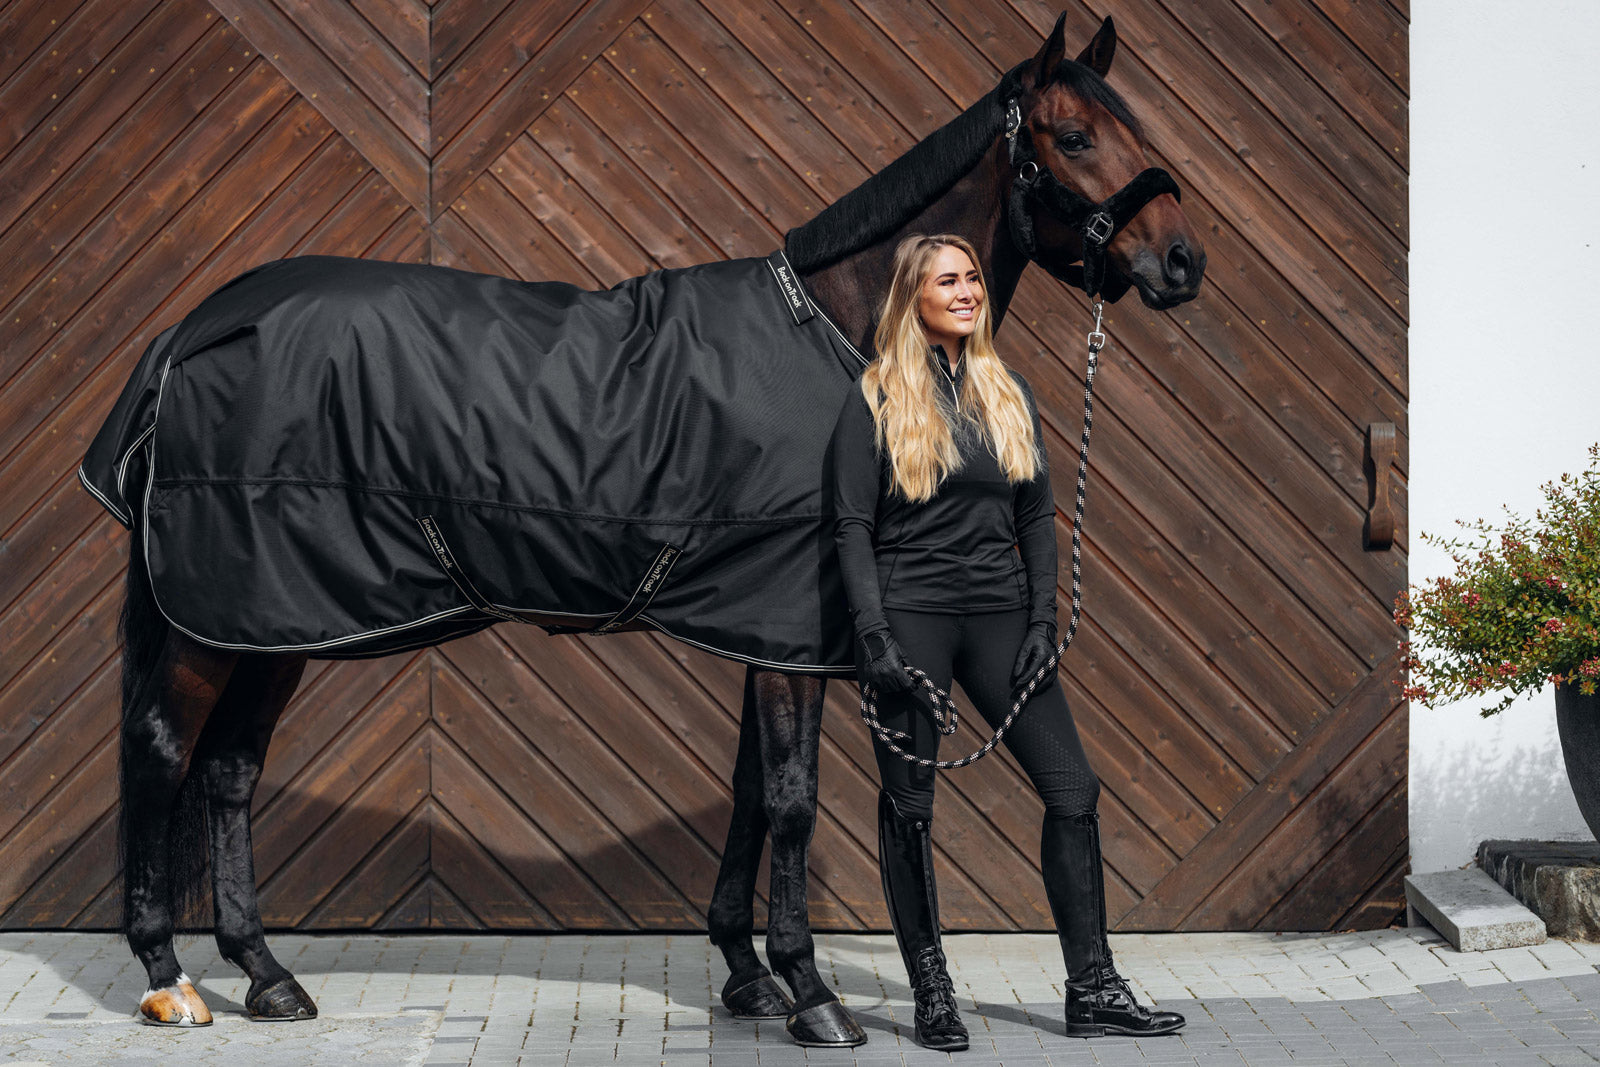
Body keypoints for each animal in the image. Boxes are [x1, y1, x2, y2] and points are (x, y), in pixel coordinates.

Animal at [82, 13, 1203, 1046]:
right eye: (1071, 134)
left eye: (1134, 123)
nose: (1182, 261)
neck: (840, 334)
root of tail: (192, 330)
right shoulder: (787, 630)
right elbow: (791, 797)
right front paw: (814, 996)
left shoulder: (765, 629)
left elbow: (751, 792)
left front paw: (750, 975)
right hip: (226, 619)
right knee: (160, 749)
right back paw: (168, 976)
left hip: (273, 620)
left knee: (228, 770)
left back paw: (266, 974)